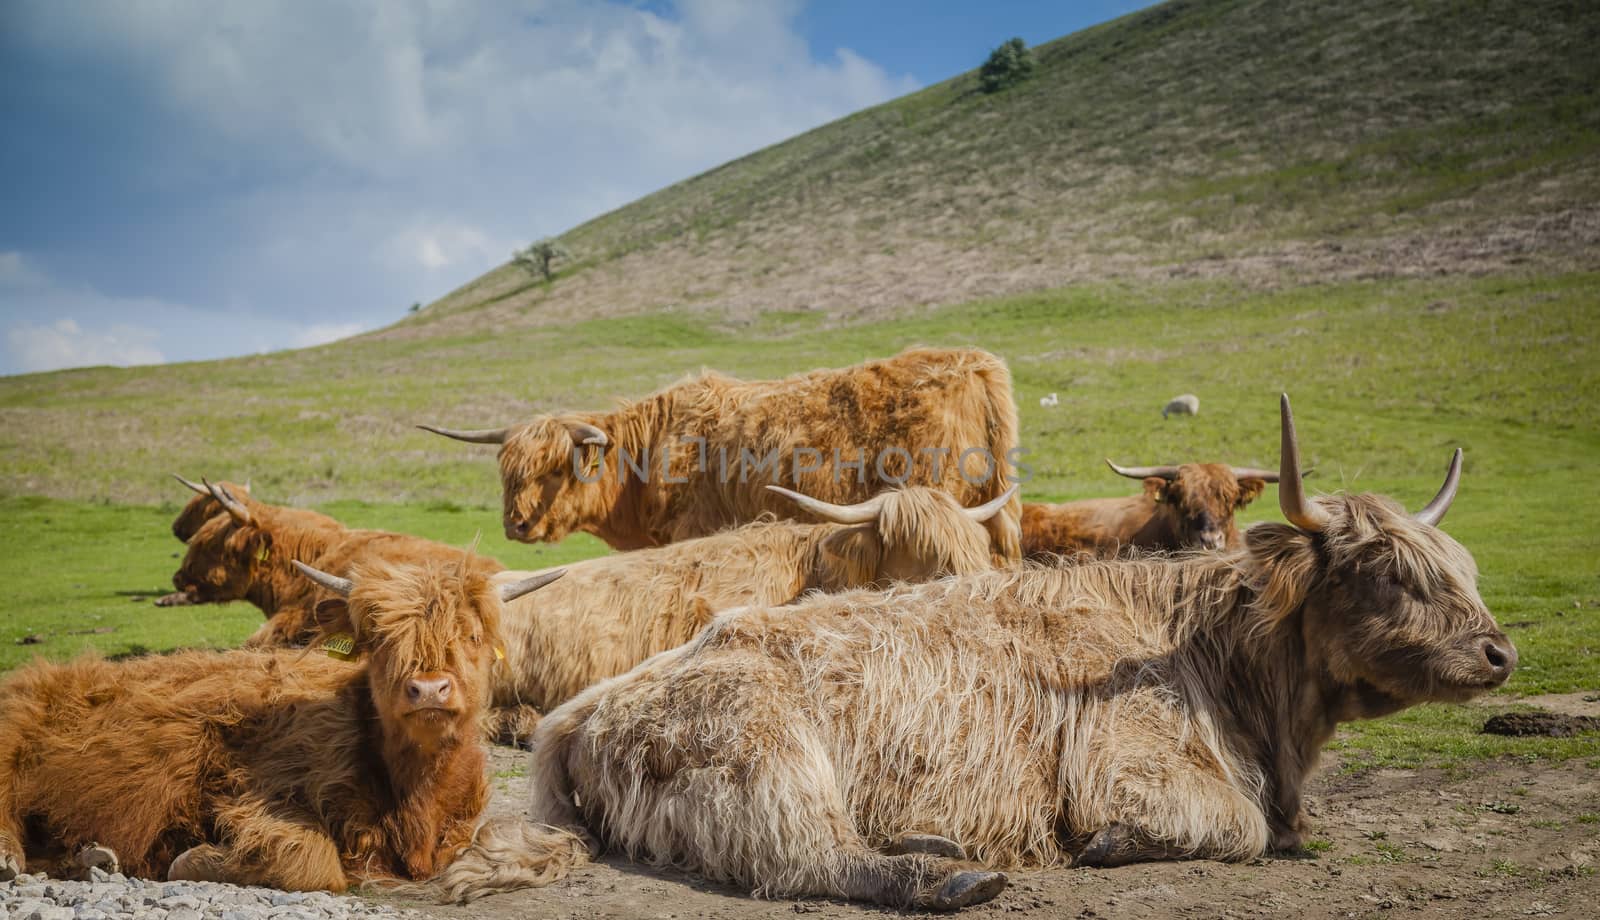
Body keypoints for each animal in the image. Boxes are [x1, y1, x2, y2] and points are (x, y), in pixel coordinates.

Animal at [0, 553, 563, 896]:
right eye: (379, 638)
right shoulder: (252, 791)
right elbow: (314, 864)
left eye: (471, 635)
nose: (428, 689)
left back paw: (93, 856)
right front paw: (190, 860)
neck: (416, 794)